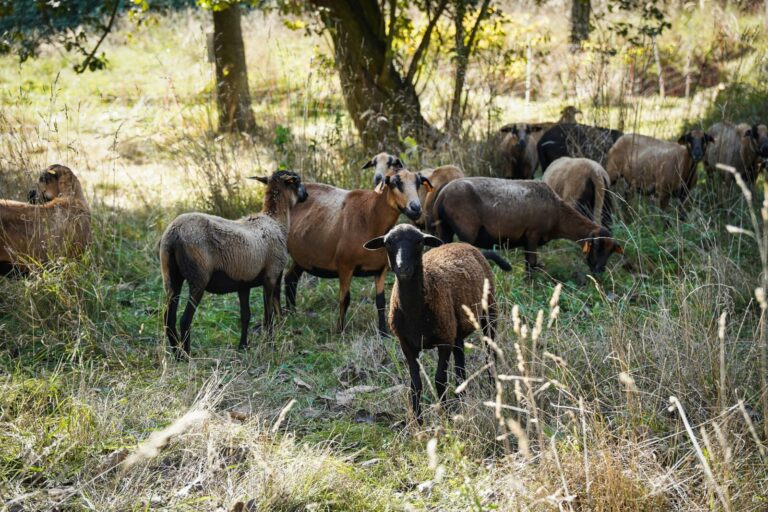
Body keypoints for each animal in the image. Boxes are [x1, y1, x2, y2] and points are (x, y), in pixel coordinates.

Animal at [158, 170, 306, 358]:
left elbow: (245, 315)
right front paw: (270, 345)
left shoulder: (244, 283)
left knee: (168, 318)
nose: (307, 195)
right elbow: (269, 314)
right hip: (198, 277)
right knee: (185, 319)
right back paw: (187, 356)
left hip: (171, 277)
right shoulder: (271, 276)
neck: (275, 221)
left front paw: (243, 346)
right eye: (297, 181)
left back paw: (177, 355)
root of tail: (174, 234)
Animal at [284, 167, 432, 336]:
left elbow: (381, 301)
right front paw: (339, 331)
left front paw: (383, 332)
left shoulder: (380, 269)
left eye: (418, 182)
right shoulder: (345, 266)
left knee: (290, 279)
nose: (416, 209)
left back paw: (291, 314)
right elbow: (345, 299)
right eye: (395, 183)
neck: (370, 218)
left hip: (302, 257)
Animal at [364, 224, 500, 420]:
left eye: (419, 242)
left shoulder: (444, 342)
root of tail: (466, 245)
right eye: (388, 242)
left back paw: (493, 389)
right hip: (455, 328)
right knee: (460, 359)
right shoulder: (407, 345)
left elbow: (439, 380)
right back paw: (461, 398)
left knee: (490, 353)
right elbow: (415, 384)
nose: (402, 268)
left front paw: (447, 417)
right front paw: (418, 421)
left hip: (489, 312)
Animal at [436, 177, 620, 274]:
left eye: (611, 251)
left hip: (445, 228)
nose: (600, 270)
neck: (559, 216)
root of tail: (442, 195)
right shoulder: (533, 234)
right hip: (467, 229)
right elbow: (531, 264)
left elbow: (529, 264)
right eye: (597, 246)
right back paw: (503, 264)